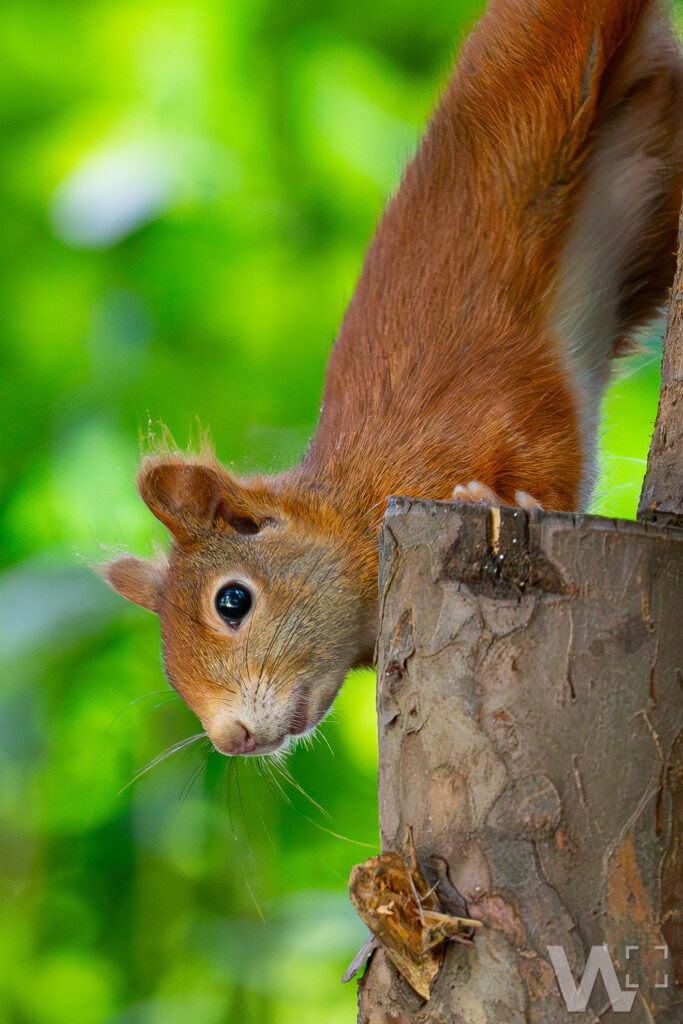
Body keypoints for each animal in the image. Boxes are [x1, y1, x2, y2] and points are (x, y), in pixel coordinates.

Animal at [101, 0, 683, 757]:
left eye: (233, 600)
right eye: (170, 665)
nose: (231, 740)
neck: (361, 503)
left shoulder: (497, 404)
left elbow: (546, 454)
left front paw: (497, 496)